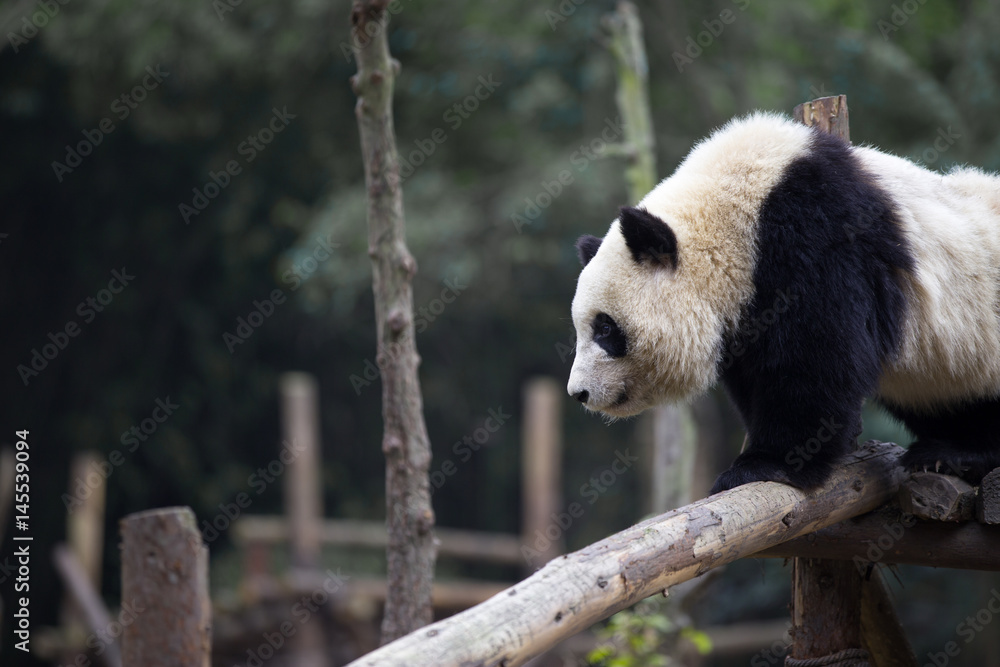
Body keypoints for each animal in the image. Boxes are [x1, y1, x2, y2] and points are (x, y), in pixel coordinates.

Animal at [568, 112, 1000, 494]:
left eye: (605, 328)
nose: (579, 394)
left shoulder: (818, 238)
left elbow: (817, 357)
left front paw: (765, 464)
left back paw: (956, 455)